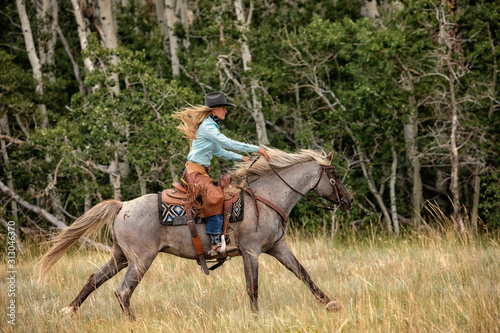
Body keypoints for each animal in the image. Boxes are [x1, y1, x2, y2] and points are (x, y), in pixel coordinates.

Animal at [37, 147, 352, 316]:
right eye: (335, 176)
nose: (348, 200)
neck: (266, 197)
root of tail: (123, 205)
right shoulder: (251, 251)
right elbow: (252, 286)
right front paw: (256, 317)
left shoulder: (277, 247)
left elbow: (303, 274)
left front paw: (330, 303)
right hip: (140, 259)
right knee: (123, 290)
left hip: (120, 256)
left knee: (95, 279)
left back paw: (69, 310)